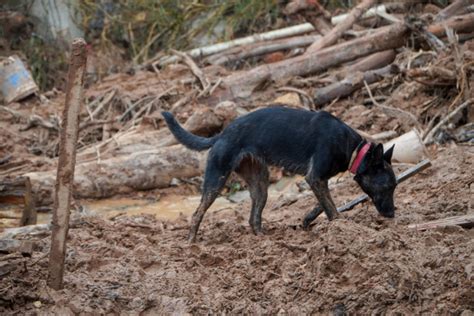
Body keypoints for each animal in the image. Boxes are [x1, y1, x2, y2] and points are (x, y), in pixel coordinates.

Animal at [163, 106, 396, 242]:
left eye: (394, 187)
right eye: (387, 187)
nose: (392, 215)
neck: (354, 150)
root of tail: (221, 135)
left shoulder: (318, 180)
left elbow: (323, 203)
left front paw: (308, 220)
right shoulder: (315, 177)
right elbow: (331, 208)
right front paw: (342, 227)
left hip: (260, 186)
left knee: (253, 219)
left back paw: (263, 240)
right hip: (216, 180)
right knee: (197, 214)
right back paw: (191, 244)